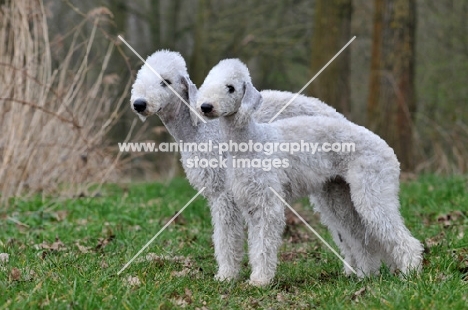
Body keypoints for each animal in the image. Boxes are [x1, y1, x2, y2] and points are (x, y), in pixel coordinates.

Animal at [129, 50, 344, 284]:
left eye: (166, 81)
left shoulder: (224, 192)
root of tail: (338, 115)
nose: (139, 104)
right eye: (141, 75)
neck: (198, 129)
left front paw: (227, 274)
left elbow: (227, 235)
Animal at [197, 58, 424, 286]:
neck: (251, 141)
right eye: (208, 82)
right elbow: (255, 243)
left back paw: (409, 273)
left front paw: (260, 280)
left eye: (231, 88)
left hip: (373, 191)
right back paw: (366, 275)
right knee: (362, 239)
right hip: (340, 198)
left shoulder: (267, 203)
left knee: (402, 238)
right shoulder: (249, 202)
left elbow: (263, 244)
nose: (205, 107)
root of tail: (388, 150)